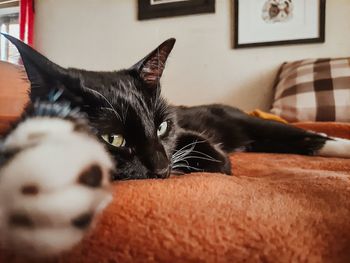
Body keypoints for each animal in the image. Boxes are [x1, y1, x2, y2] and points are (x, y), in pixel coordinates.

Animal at [3, 34, 350, 180]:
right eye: (113, 139)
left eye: (162, 126)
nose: (162, 169)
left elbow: (213, 157)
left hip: (255, 124)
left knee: (313, 137)